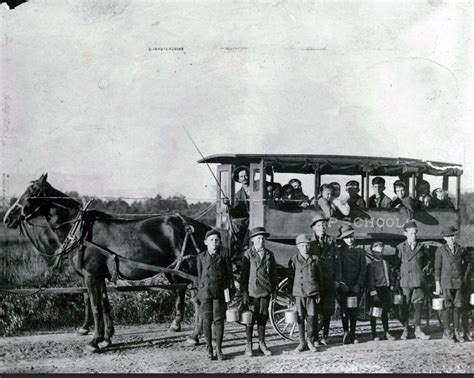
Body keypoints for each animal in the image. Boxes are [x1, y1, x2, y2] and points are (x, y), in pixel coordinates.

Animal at [2, 173, 209, 352]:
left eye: (32, 192)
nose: (8, 218)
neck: (81, 230)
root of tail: (199, 226)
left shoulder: (91, 276)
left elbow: (95, 306)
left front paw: (94, 341)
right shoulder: (99, 276)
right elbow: (104, 304)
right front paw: (106, 338)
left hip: (191, 271)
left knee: (197, 300)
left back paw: (194, 336)